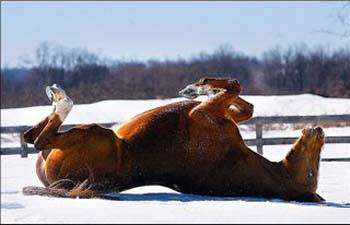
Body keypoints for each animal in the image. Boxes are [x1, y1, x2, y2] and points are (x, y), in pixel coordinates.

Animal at [21, 78, 326, 202]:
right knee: (30, 136)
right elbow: (246, 107)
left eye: (313, 172)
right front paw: (202, 88)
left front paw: (198, 87)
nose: (320, 130)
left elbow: (234, 86)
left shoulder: (203, 113)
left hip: (94, 133)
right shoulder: (215, 113)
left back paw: (60, 98)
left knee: (39, 140)